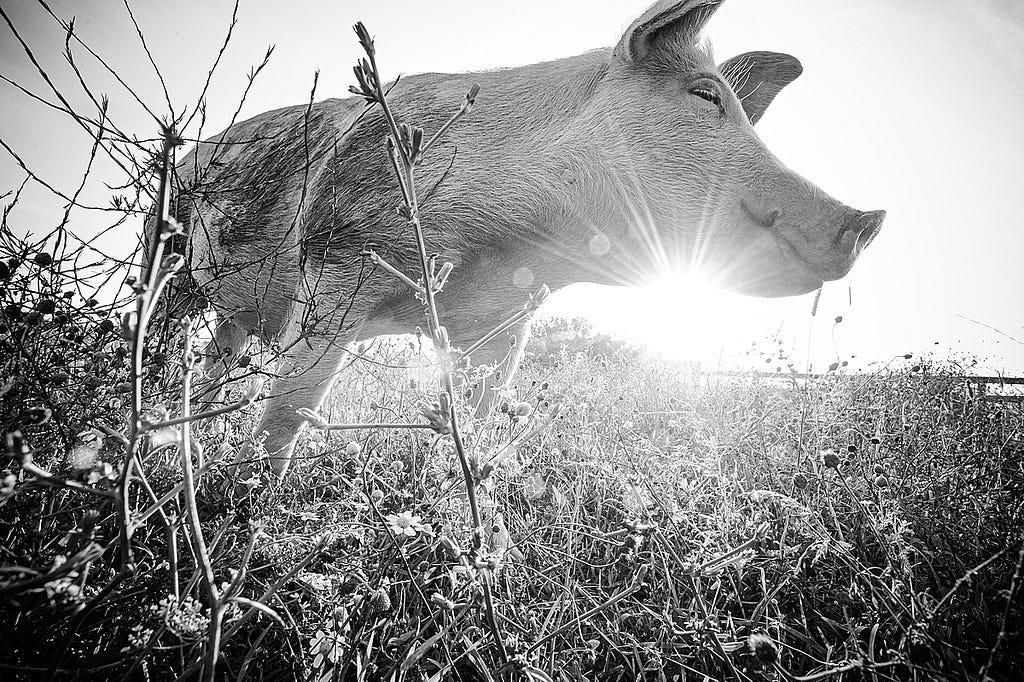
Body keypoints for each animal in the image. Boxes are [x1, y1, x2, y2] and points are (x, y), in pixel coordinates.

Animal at [165, 0, 880, 477]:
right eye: (706, 96)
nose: (870, 220)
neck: (511, 243)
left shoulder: (506, 322)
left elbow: (475, 418)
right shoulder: (335, 261)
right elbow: (289, 411)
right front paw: (251, 507)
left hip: (232, 314)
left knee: (212, 365)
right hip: (169, 259)